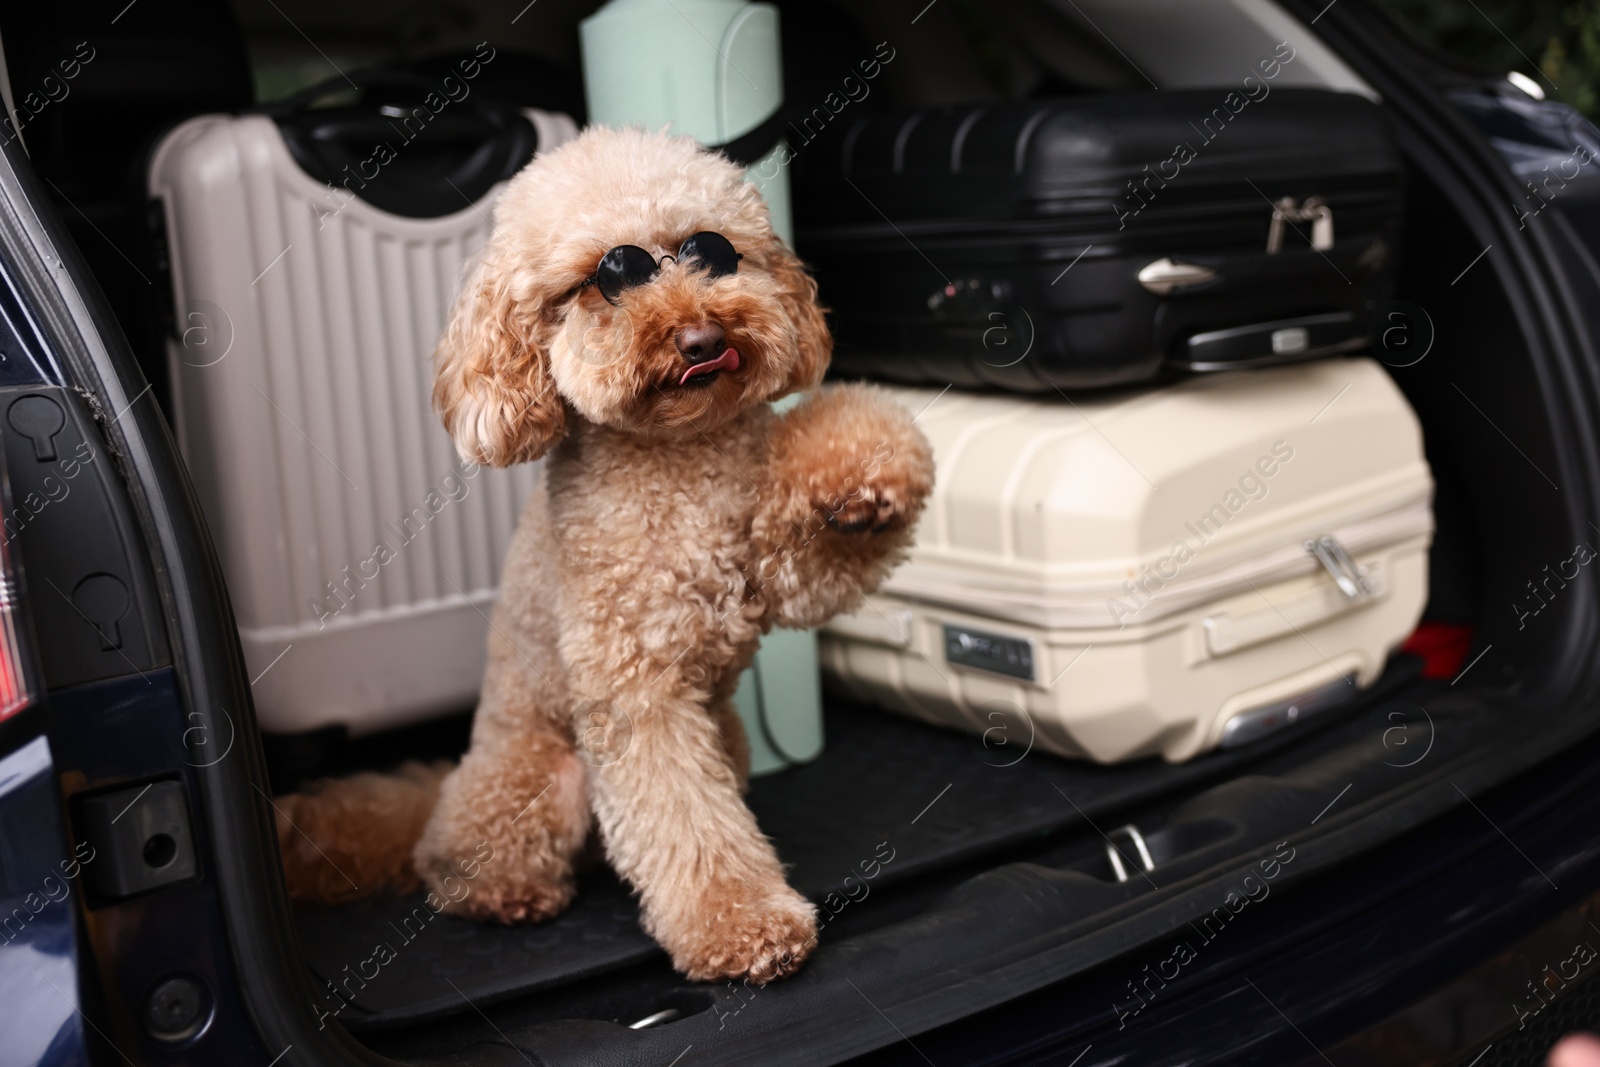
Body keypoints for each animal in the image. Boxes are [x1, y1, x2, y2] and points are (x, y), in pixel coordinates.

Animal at [272, 125, 928, 985]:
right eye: (608, 278)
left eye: (712, 251)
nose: (702, 338)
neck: (680, 456)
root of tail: (446, 780)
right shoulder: (637, 689)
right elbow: (685, 821)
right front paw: (743, 926)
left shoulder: (777, 572)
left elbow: (822, 535)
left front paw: (870, 476)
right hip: (537, 776)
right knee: (456, 861)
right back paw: (509, 892)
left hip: (727, 739)